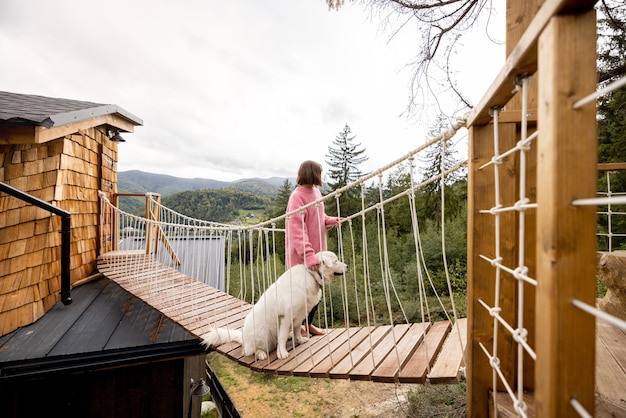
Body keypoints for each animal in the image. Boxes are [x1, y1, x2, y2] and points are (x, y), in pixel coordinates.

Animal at [201, 250, 344, 360]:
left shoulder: (299, 316)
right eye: (336, 261)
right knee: (254, 350)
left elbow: (297, 330)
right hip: (261, 332)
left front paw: (299, 340)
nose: (347, 266)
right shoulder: (286, 317)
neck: (311, 276)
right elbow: (282, 337)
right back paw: (261, 354)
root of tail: (243, 338)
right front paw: (282, 353)